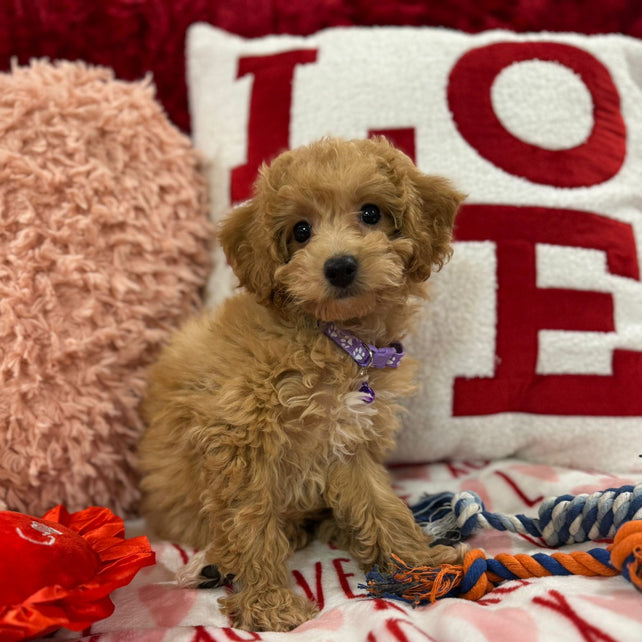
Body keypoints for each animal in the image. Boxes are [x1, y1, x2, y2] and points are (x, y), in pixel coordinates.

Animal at [138, 136, 462, 632]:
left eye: (371, 213)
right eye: (301, 231)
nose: (340, 267)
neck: (334, 339)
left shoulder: (348, 441)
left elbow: (380, 504)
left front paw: (416, 564)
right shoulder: (239, 439)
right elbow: (251, 522)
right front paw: (268, 603)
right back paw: (218, 563)